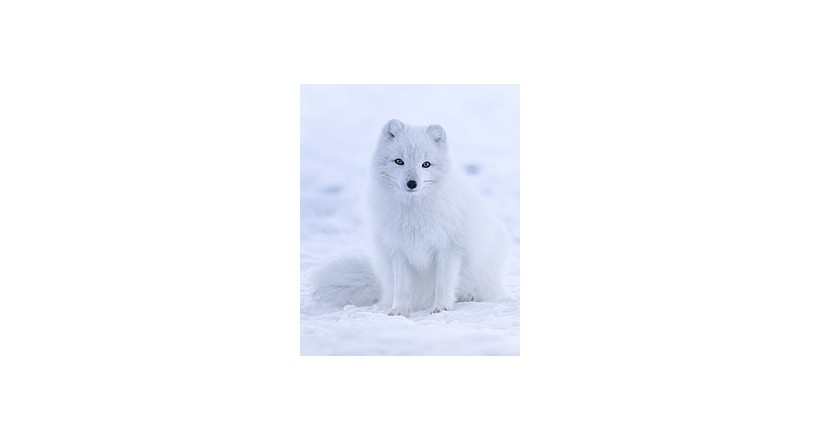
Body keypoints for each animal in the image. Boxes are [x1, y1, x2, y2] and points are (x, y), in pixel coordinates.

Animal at [311, 119, 510, 316]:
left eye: (426, 164)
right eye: (399, 161)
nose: (412, 183)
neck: (414, 212)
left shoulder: (449, 249)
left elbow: (443, 284)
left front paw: (441, 307)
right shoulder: (399, 250)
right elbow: (403, 287)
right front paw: (399, 310)